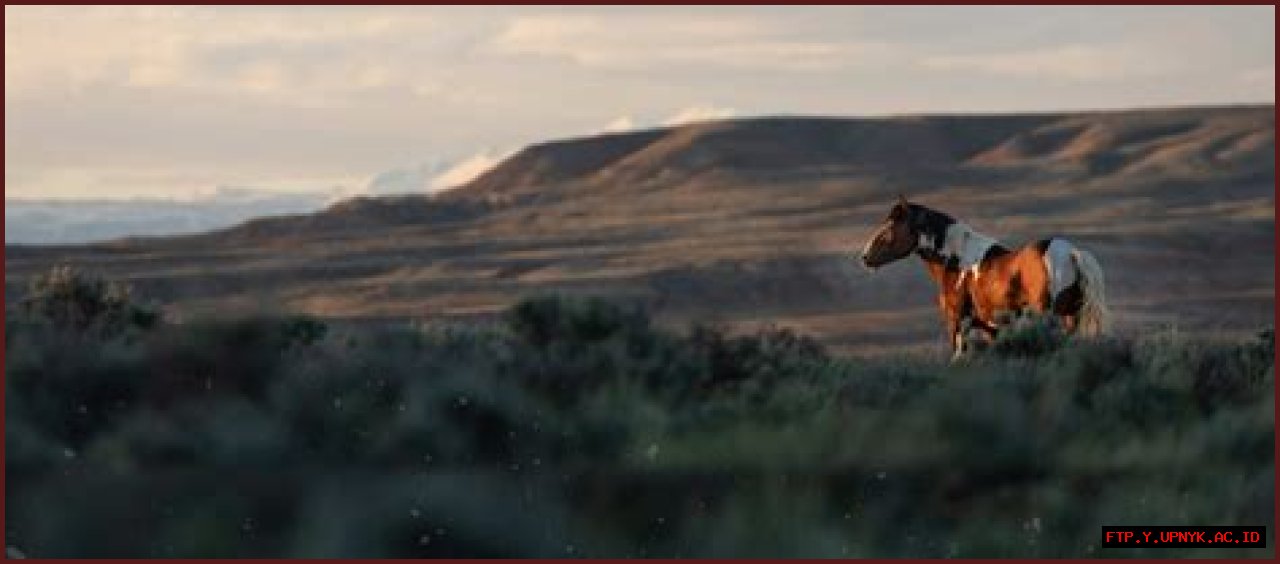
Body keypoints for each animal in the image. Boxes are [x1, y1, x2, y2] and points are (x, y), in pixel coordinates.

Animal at [858, 196, 1109, 357]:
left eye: (890, 229)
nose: (865, 257)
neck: (958, 261)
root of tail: (1071, 253)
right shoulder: (991, 329)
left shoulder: (958, 323)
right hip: (1071, 317)